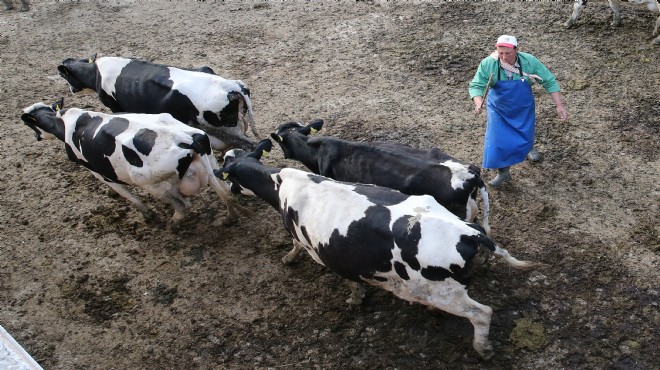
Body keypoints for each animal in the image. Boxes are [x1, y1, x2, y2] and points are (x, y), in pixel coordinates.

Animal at [22, 98, 248, 224]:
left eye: (31, 125)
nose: (36, 137)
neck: (66, 122)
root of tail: (189, 139)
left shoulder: (99, 172)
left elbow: (126, 194)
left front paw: (147, 214)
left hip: (148, 182)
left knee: (183, 205)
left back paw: (174, 221)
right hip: (210, 164)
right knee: (225, 193)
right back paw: (229, 217)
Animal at [58, 53, 260, 153]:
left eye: (65, 76)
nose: (71, 90)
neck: (96, 72)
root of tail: (232, 85)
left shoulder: (115, 106)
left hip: (229, 129)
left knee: (249, 145)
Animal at [219, 139, 544, 358]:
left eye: (226, 169)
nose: (231, 189)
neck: (283, 185)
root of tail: (469, 233)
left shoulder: (319, 248)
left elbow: (312, 255)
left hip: (445, 293)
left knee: (482, 313)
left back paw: (482, 348)